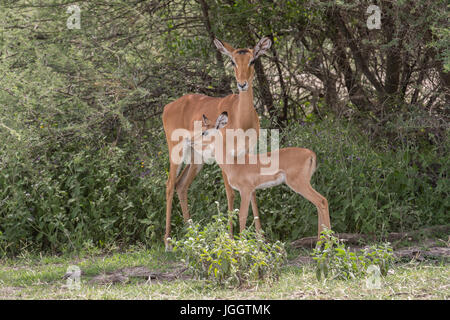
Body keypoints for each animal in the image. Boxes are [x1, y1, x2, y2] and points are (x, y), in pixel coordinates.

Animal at [193, 112, 330, 238]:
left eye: (204, 132)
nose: (193, 142)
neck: (234, 163)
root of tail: (311, 153)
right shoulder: (251, 191)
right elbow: (255, 216)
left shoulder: (245, 190)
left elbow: (242, 215)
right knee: (320, 204)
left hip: (299, 184)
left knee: (322, 201)